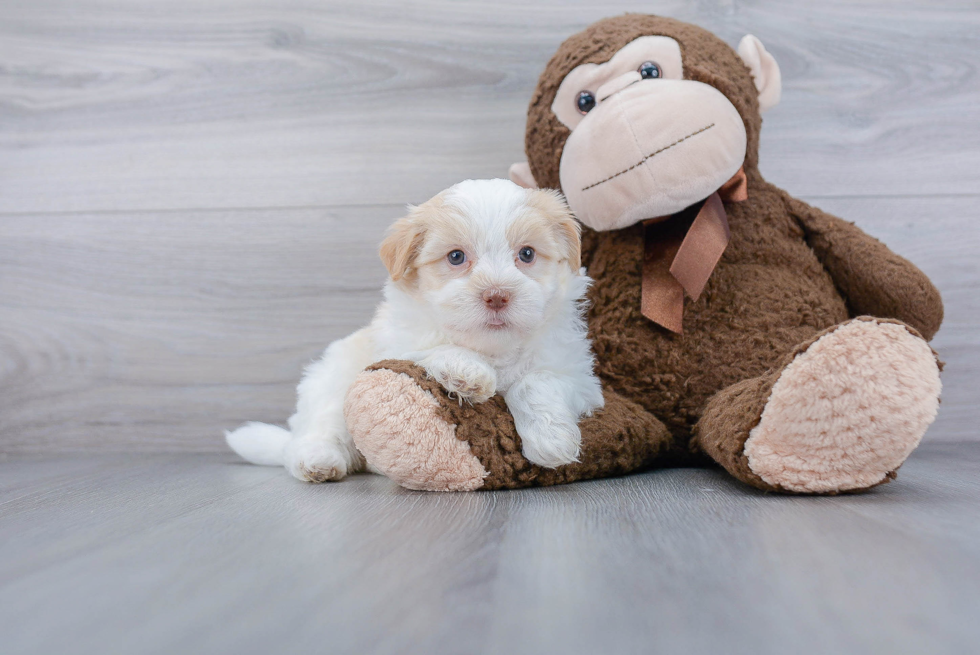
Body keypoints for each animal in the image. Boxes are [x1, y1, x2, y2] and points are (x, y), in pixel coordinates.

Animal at [228, 179, 604, 482]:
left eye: (527, 254)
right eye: (456, 257)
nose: (497, 295)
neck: (491, 348)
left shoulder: (579, 376)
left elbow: (536, 382)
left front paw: (551, 440)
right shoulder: (395, 345)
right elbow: (429, 349)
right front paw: (468, 372)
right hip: (330, 384)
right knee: (318, 432)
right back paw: (318, 460)